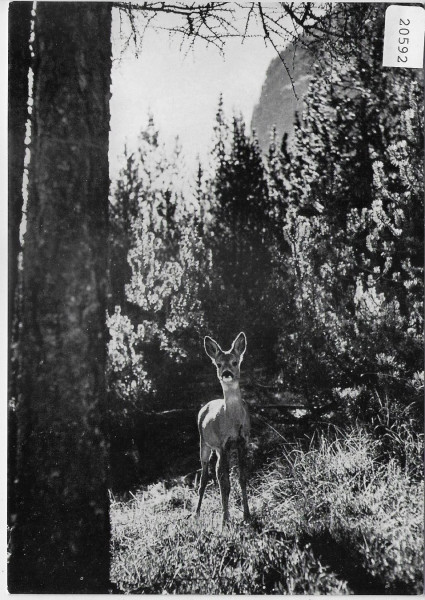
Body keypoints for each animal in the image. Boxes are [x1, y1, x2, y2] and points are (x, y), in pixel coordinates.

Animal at [195, 332, 250, 524]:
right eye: (218, 364)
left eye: (235, 362)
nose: (226, 373)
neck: (233, 422)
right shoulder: (223, 444)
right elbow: (225, 483)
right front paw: (225, 521)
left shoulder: (243, 442)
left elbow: (242, 478)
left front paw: (247, 515)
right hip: (204, 444)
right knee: (205, 477)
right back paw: (196, 514)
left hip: (217, 450)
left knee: (217, 475)